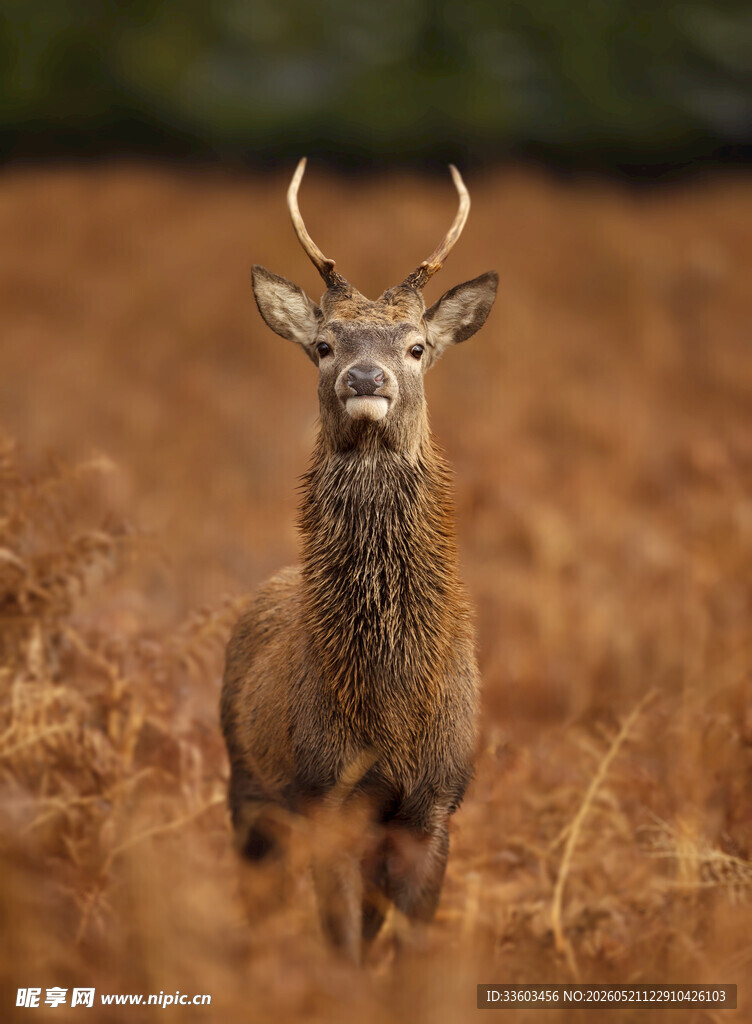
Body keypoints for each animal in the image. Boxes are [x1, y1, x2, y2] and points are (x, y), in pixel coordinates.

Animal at [221, 159, 497, 961]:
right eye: (324, 345)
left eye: (416, 346)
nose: (366, 378)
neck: (392, 701)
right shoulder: (327, 793)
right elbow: (342, 947)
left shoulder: (436, 802)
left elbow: (404, 948)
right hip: (245, 783)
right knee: (256, 896)